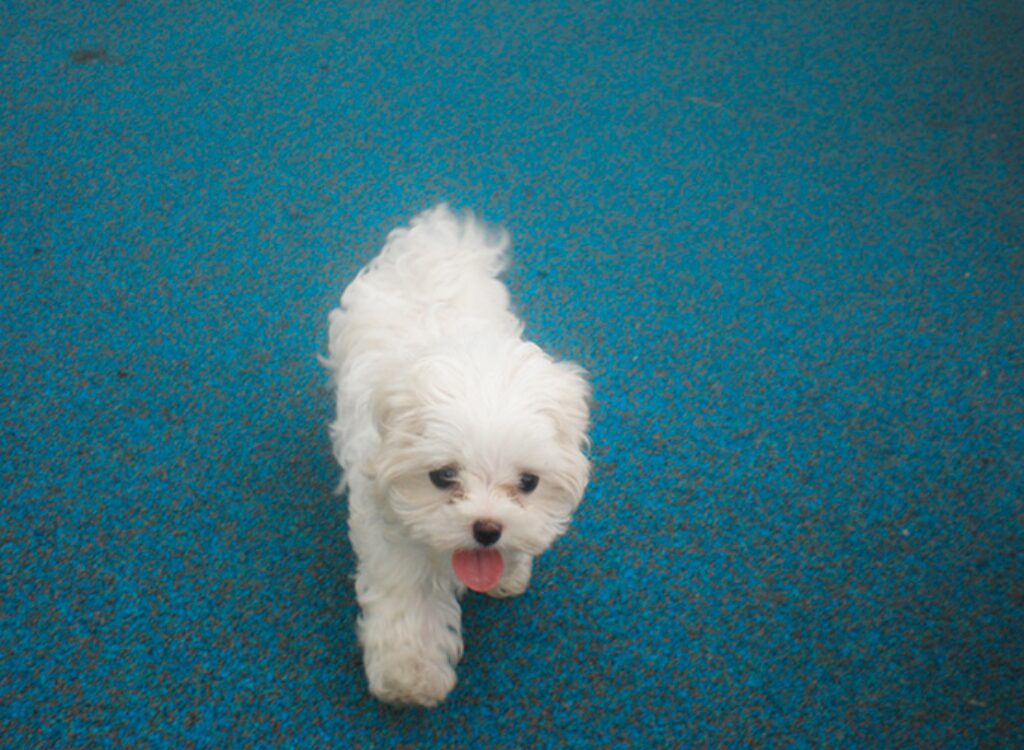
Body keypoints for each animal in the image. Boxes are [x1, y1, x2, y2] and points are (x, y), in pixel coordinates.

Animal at [323, 203, 589, 704]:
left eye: (528, 483)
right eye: (443, 476)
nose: (487, 529)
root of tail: (431, 246)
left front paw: (508, 572)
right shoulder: (389, 530)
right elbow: (407, 594)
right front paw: (410, 677)